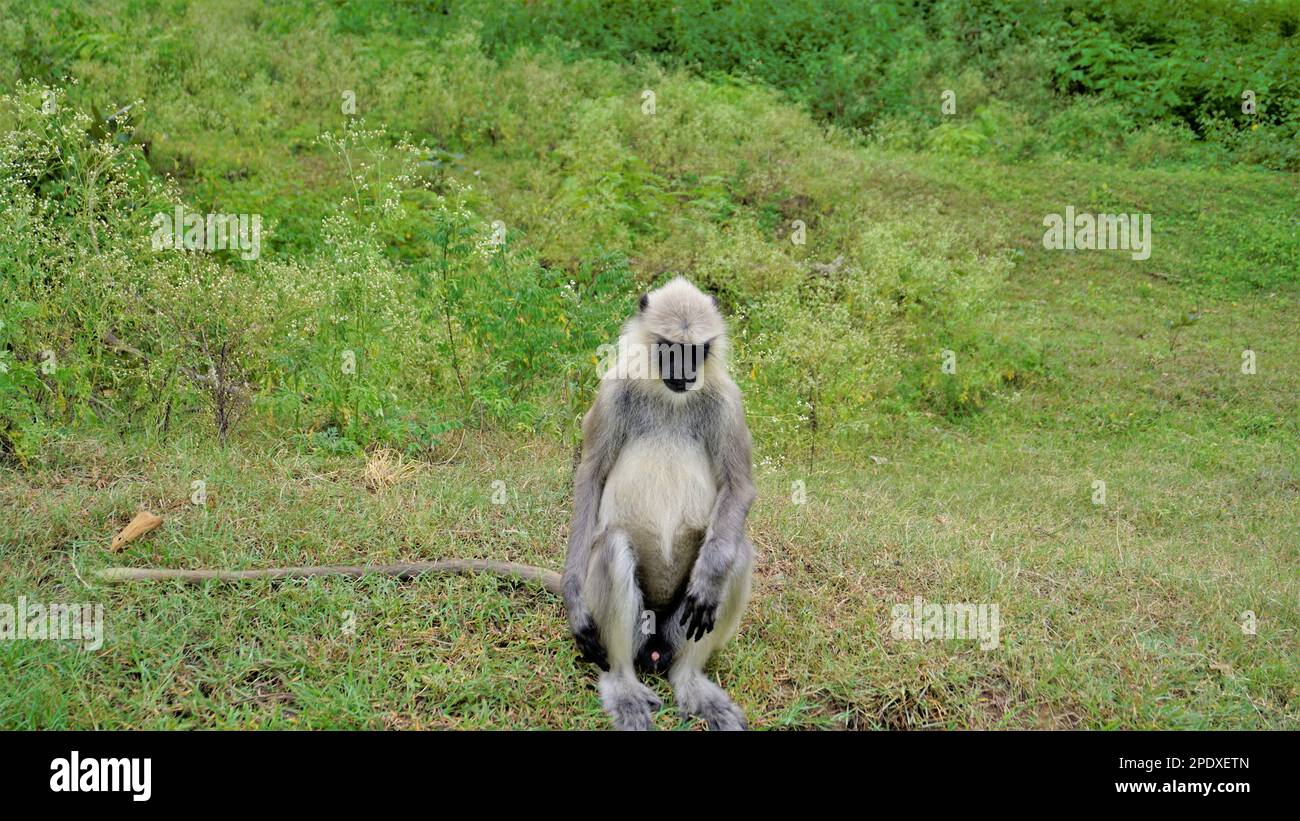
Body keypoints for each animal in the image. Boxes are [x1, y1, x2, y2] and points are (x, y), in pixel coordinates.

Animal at [564, 277, 759, 732]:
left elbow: (739, 486)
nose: (685, 373)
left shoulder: (728, 401)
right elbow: (590, 476)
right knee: (613, 548)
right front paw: (573, 599)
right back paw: (623, 686)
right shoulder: (612, 391)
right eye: (671, 348)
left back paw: (690, 681)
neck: (669, 399)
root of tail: (654, 646)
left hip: (676, 623)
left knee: (735, 553)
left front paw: (710, 575)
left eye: (696, 351)